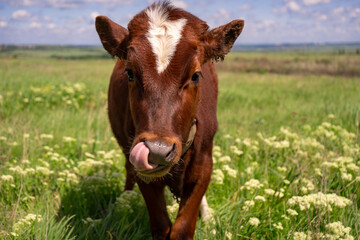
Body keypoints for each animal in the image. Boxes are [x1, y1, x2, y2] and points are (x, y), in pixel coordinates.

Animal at [94, 1, 243, 238]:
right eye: (130, 73)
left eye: (195, 75)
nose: (157, 150)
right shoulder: (142, 171)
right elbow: (161, 225)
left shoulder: (204, 164)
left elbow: (183, 227)